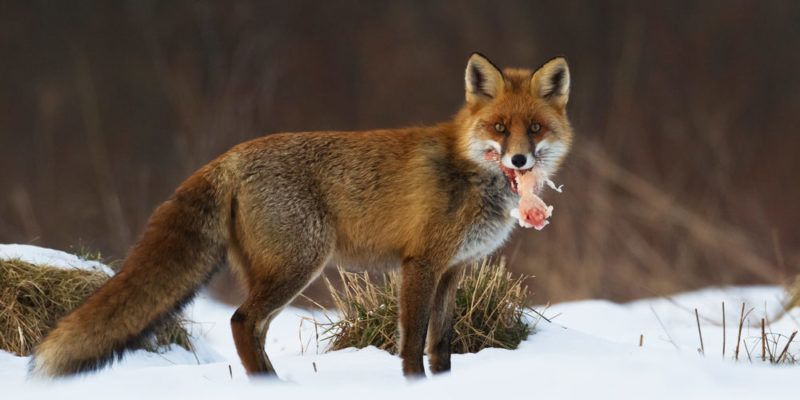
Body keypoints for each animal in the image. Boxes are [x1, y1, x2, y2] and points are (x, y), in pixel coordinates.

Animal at [31, 52, 568, 378]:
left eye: (534, 128)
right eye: (499, 128)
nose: (520, 160)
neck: (471, 172)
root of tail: (227, 156)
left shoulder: (454, 269)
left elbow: (442, 346)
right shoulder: (420, 264)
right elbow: (413, 343)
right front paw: (414, 385)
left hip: (281, 271)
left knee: (254, 328)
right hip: (298, 264)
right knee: (241, 322)